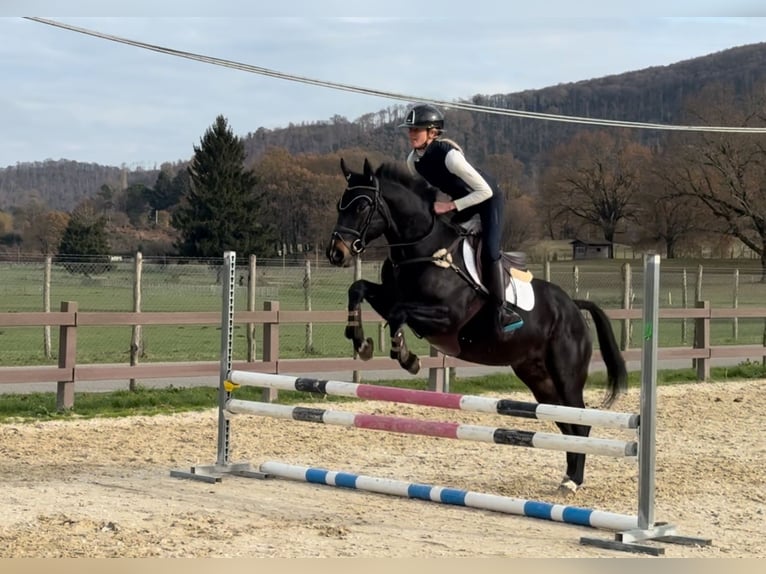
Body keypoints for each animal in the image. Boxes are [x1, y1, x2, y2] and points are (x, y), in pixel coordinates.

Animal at [325, 158, 628, 493]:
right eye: (340, 204)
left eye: (362, 206)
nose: (336, 253)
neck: (422, 250)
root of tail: (573, 306)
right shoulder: (390, 295)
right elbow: (359, 290)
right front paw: (361, 342)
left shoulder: (447, 317)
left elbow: (397, 314)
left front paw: (406, 356)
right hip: (539, 379)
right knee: (567, 424)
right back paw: (568, 478)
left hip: (566, 375)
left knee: (580, 423)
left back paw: (574, 482)